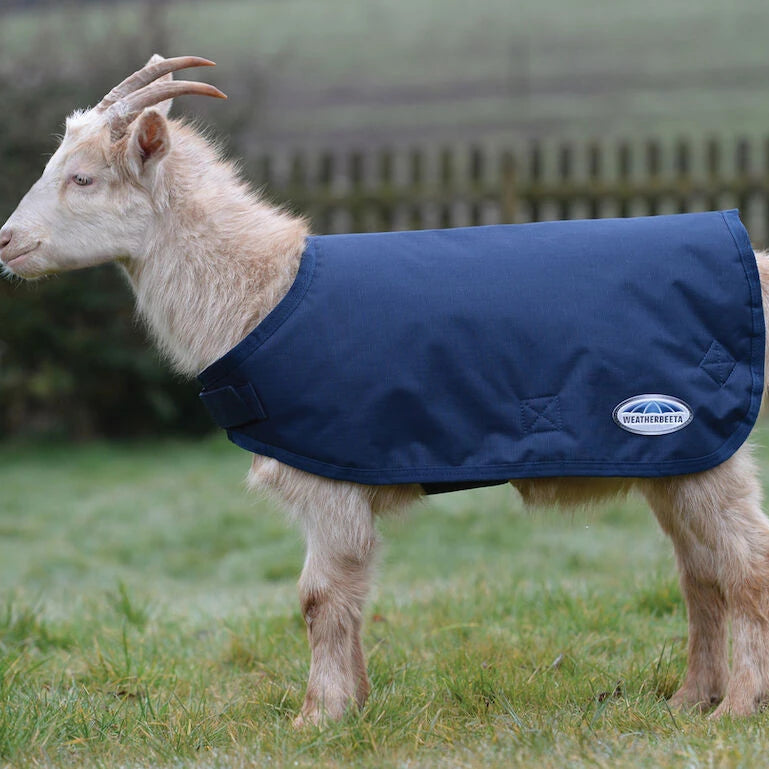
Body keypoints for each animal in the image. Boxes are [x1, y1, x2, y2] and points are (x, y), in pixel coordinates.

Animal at [2, 56, 769, 726]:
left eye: (83, 177)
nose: (8, 242)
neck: (263, 293)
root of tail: (752, 261)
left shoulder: (328, 480)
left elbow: (317, 598)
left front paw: (314, 717)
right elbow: (350, 596)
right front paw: (357, 704)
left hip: (705, 446)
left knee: (745, 568)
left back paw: (733, 708)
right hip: (676, 461)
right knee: (698, 575)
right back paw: (687, 699)